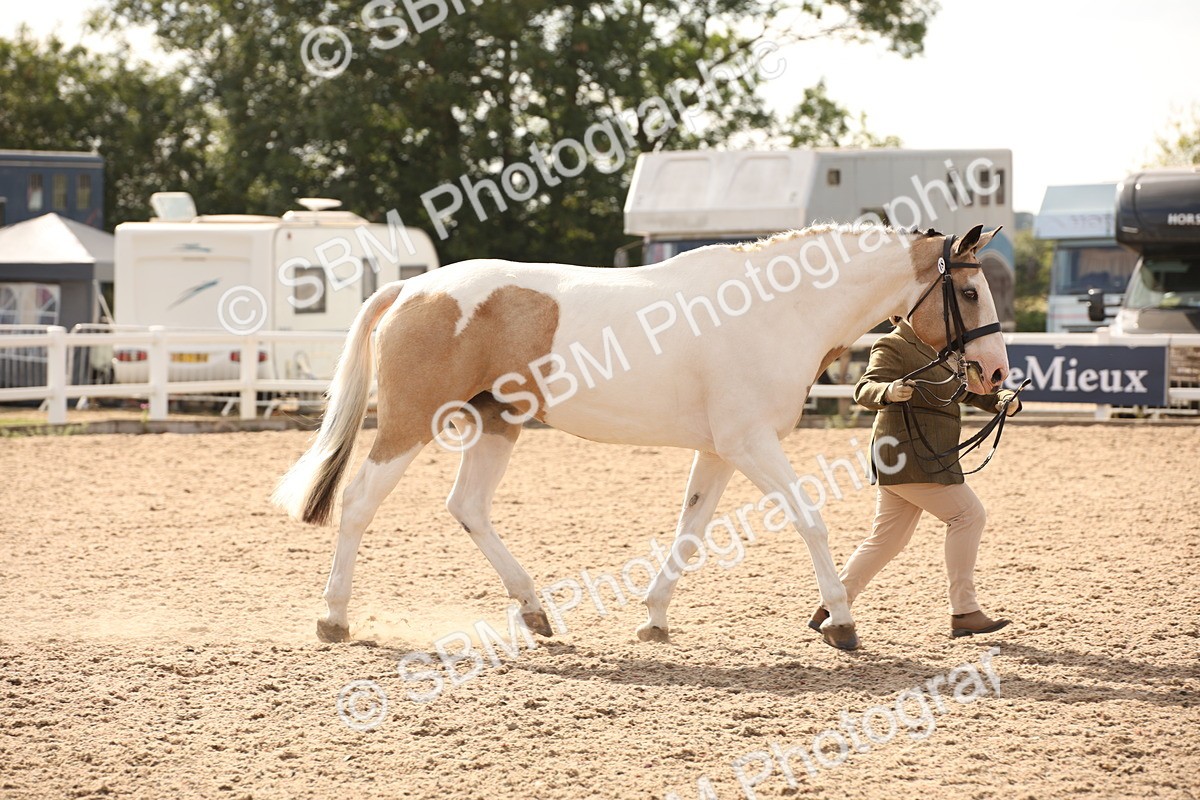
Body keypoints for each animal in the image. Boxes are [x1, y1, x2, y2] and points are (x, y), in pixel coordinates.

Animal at [272, 223, 1010, 651]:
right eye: (971, 292)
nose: (996, 373)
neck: (777, 309)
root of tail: (411, 289)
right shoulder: (750, 444)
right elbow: (810, 520)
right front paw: (843, 624)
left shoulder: (720, 450)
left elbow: (691, 530)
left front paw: (653, 618)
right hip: (409, 424)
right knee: (360, 502)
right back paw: (334, 618)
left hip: (496, 423)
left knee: (468, 508)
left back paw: (535, 613)